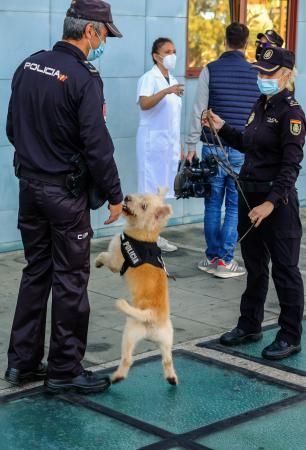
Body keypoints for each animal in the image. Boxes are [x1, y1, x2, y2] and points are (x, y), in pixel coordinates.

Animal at [94, 188, 178, 384]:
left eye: (144, 205)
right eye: (140, 195)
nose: (126, 197)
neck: (145, 233)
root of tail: (151, 315)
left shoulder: (115, 261)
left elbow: (104, 255)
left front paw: (97, 262)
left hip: (129, 333)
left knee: (127, 359)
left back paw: (117, 377)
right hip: (167, 339)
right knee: (167, 360)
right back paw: (171, 378)